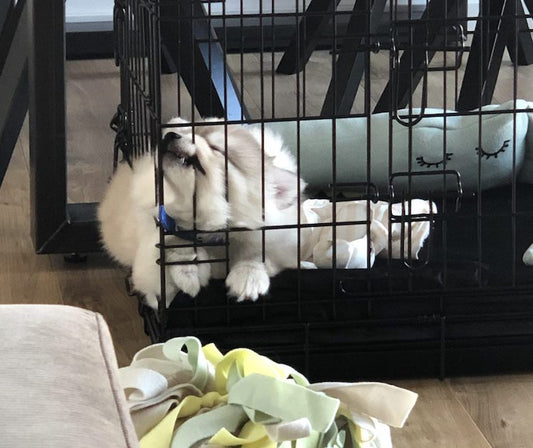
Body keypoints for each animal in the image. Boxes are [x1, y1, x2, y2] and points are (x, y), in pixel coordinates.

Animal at [97, 117, 306, 310]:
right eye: (185, 131)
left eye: (217, 148)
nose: (169, 135)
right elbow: (173, 250)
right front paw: (189, 272)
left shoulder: (280, 242)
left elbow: (255, 252)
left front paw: (248, 278)